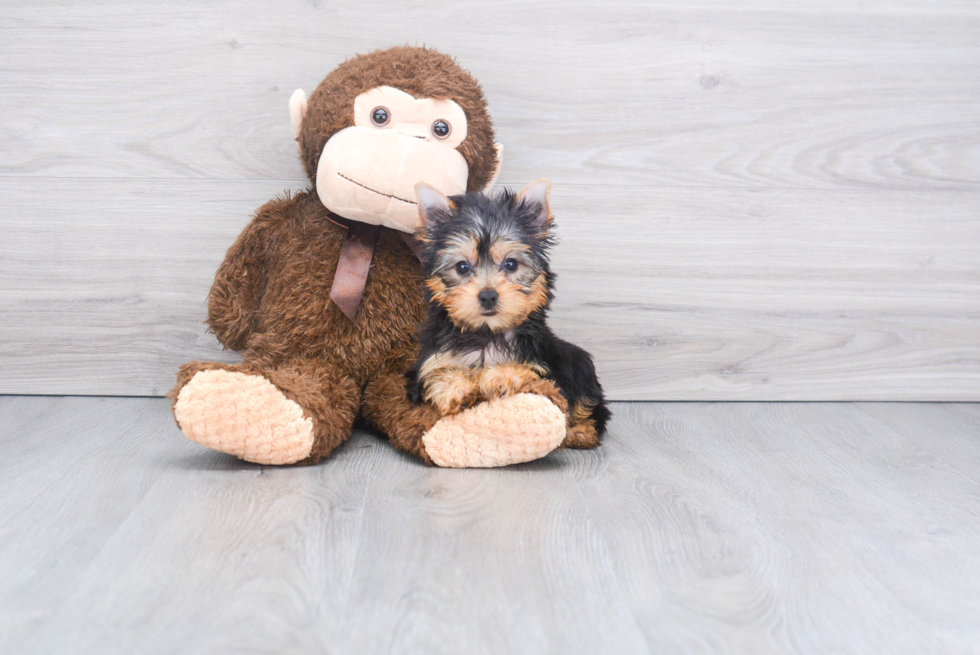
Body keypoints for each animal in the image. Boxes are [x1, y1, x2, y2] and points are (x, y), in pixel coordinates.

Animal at [408, 177, 608, 448]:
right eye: (462, 267)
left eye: (511, 264)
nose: (488, 295)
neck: (487, 334)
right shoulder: (428, 365)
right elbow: (435, 376)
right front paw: (458, 389)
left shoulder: (542, 365)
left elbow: (530, 374)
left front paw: (498, 377)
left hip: (580, 365)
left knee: (590, 404)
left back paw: (582, 432)